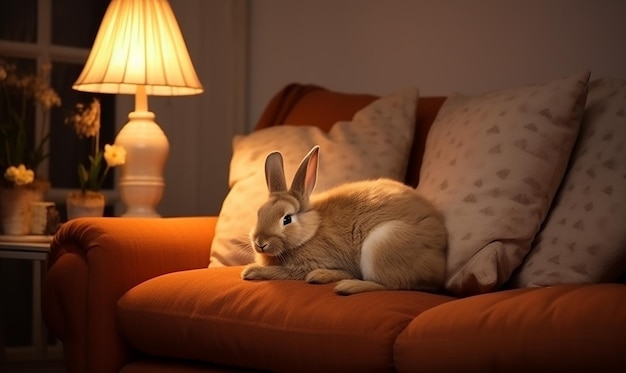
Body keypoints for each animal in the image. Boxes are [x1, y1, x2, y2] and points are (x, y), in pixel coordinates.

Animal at [239, 145, 444, 294]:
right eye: (259, 213)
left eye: (287, 219)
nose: (261, 243)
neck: (311, 232)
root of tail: (440, 258)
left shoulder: (312, 262)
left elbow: (286, 272)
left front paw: (251, 271)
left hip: (382, 243)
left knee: (390, 285)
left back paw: (347, 287)